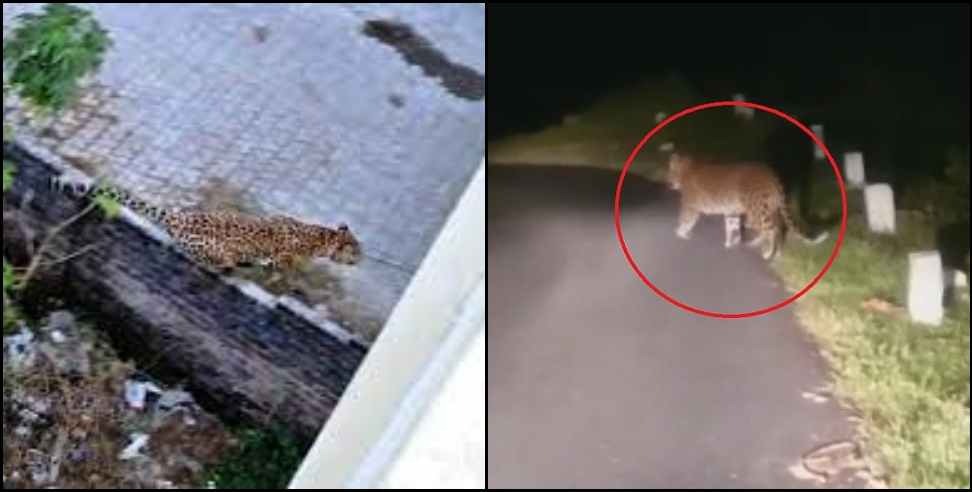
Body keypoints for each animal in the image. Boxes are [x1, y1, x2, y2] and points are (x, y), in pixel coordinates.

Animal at [50, 175, 360, 270]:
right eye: (356, 250)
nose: (360, 260)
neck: (322, 239)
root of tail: (179, 217)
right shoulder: (283, 258)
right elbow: (281, 266)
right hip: (216, 251)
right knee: (213, 260)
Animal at [668, 153, 828, 262]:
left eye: (670, 171)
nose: (668, 183)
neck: (687, 169)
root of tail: (770, 173)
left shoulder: (690, 206)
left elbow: (685, 219)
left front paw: (680, 233)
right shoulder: (730, 211)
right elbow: (730, 227)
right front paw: (729, 243)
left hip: (757, 211)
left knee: (770, 230)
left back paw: (767, 253)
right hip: (769, 209)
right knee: (778, 228)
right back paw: (776, 253)